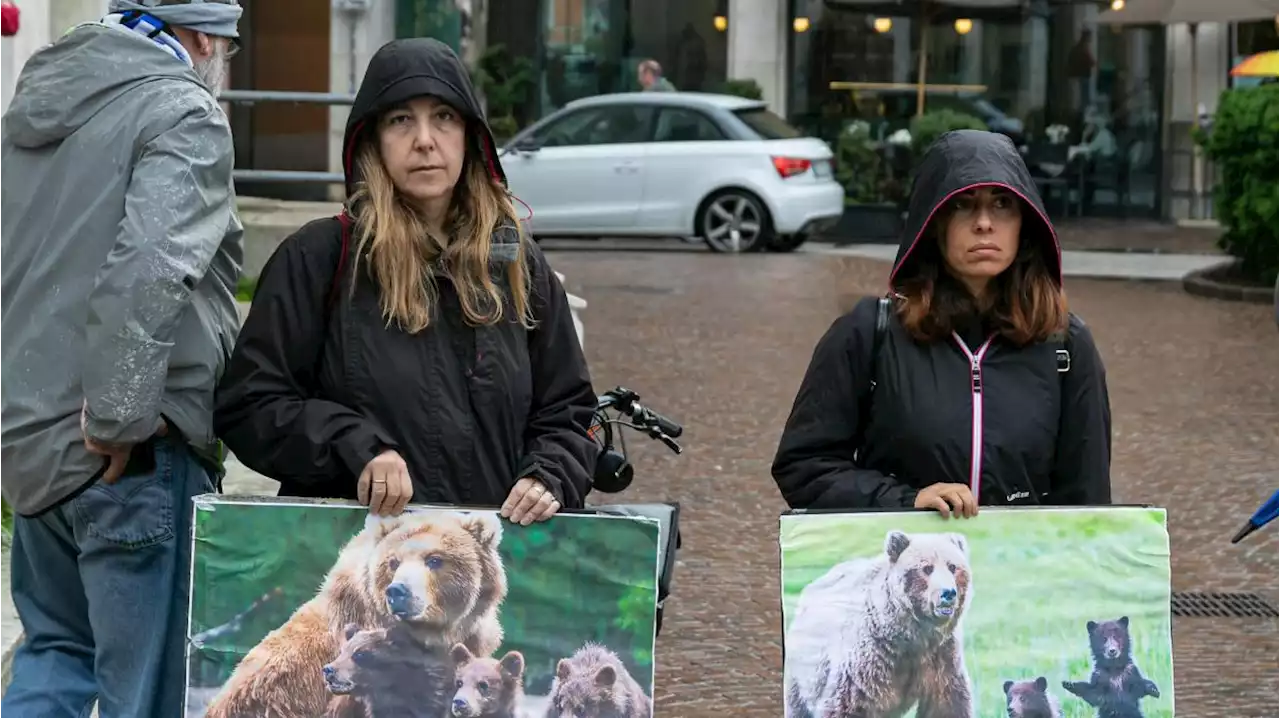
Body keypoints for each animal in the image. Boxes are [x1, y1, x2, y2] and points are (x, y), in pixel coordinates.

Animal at [783, 527, 972, 716]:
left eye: (952, 566)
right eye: (926, 568)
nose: (948, 592)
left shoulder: (941, 657)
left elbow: (947, 704)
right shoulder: (867, 662)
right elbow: (846, 704)